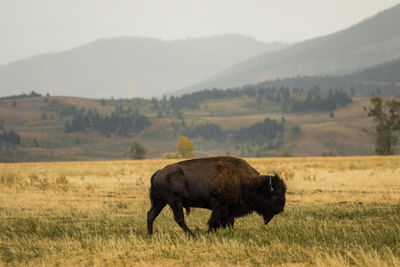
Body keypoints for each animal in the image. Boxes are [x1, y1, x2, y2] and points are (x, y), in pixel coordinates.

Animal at [148, 156, 286, 236]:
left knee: (151, 215)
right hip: (175, 202)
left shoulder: (230, 210)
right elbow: (214, 221)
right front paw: (209, 232)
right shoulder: (221, 207)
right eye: (274, 196)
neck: (247, 182)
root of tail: (158, 173)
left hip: (160, 202)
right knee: (179, 219)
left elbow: (230, 222)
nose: (281, 209)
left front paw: (230, 232)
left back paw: (150, 235)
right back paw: (192, 234)